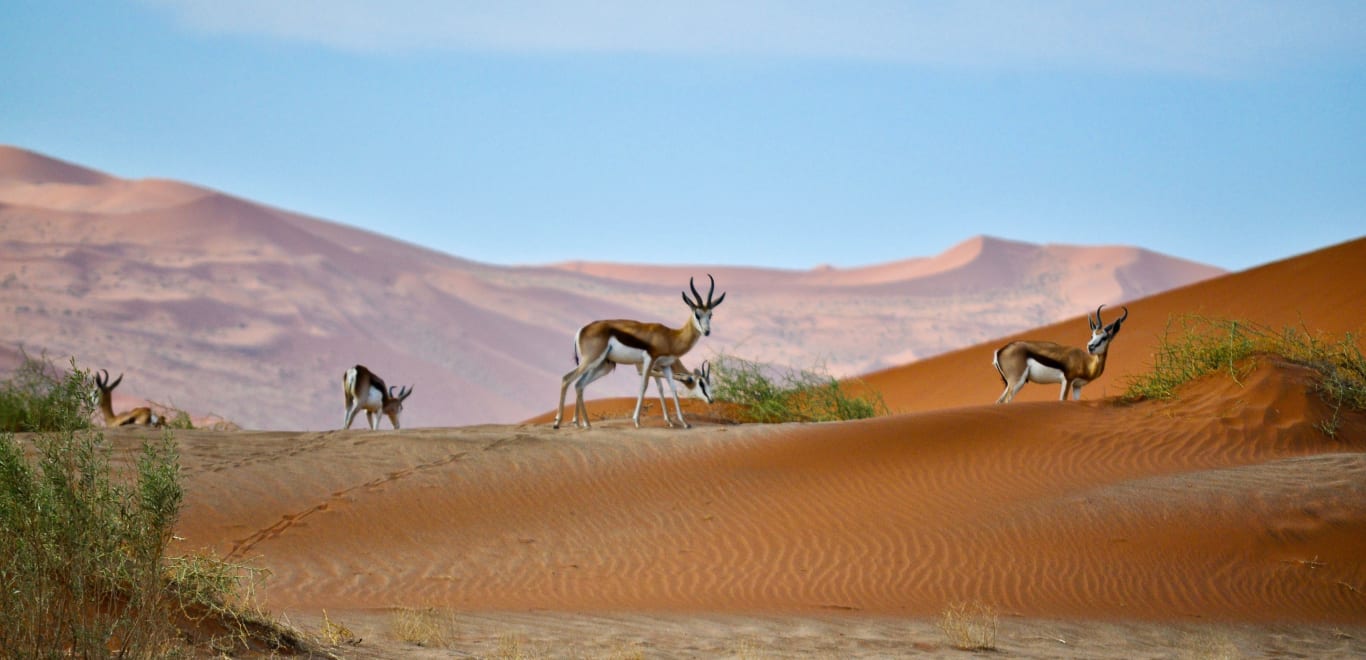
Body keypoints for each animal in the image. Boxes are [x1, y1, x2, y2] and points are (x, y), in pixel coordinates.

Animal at [554, 271, 726, 429]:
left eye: (710, 314)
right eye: (697, 314)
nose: (707, 332)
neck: (670, 336)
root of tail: (582, 329)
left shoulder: (665, 365)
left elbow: (672, 388)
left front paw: (683, 423)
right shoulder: (649, 360)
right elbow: (644, 386)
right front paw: (637, 420)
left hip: (602, 365)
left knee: (579, 384)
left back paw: (585, 424)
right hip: (591, 361)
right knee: (567, 378)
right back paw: (558, 422)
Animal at [994, 304, 1131, 401]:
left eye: (1104, 337)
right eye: (1092, 335)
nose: (1090, 346)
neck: (1085, 362)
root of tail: (999, 351)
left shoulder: (1077, 386)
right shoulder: (1067, 380)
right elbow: (1062, 400)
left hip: (1010, 384)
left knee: (999, 402)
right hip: (1017, 382)